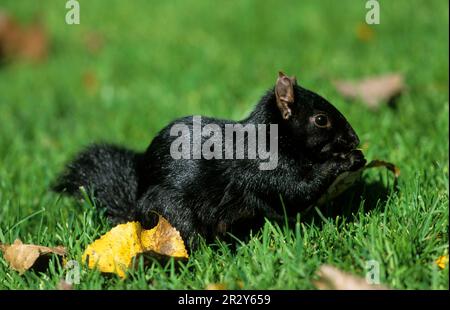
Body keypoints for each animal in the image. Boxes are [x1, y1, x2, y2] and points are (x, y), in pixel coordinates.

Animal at [52, 71, 366, 248]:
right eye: (321, 119)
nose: (354, 140)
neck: (268, 137)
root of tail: (136, 212)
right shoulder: (262, 168)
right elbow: (295, 192)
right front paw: (346, 160)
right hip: (172, 211)